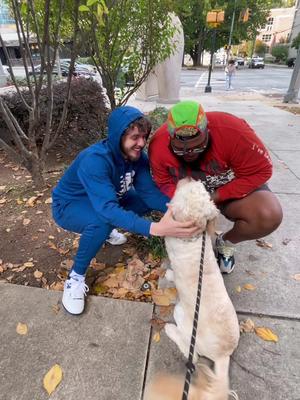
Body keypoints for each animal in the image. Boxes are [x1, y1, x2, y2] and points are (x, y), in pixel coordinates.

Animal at [144, 179, 240, 400]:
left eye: (182, 192)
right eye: (201, 187)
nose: (188, 177)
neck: (194, 237)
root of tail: (223, 354)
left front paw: (170, 275)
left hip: (182, 314)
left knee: (193, 355)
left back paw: (170, 329)